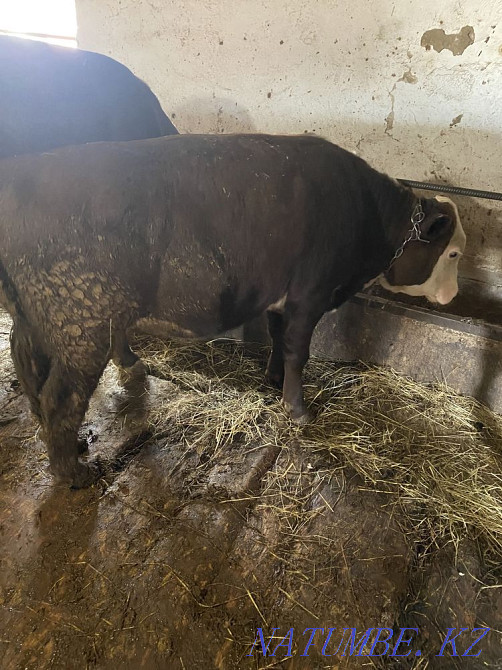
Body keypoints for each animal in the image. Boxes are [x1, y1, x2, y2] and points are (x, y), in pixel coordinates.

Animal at [0, 133, 466, 488]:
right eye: (454, 253)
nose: (454, 295)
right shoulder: (310, 294)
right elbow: (298, 351)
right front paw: (299, 410)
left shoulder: (282, 295)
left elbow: (279, 338)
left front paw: (274, 380)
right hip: (81, 322)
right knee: (61, 396)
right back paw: (74, 473)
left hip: (38, 320)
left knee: (29, 371)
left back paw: (65, 442)